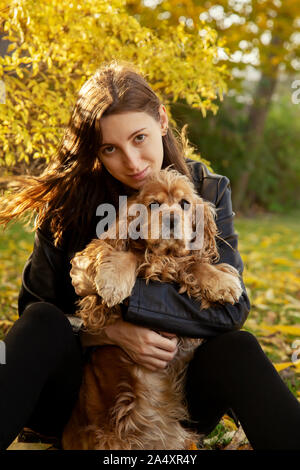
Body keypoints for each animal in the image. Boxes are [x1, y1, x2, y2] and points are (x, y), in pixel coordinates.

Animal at [62, 168, 243, 448]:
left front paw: (221, 281)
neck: (163, 256)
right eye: (154, 204)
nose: (171, 219)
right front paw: (113, 280)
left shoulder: (179, 264)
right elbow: (128, 255)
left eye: (184, 203)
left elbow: (195, 264)